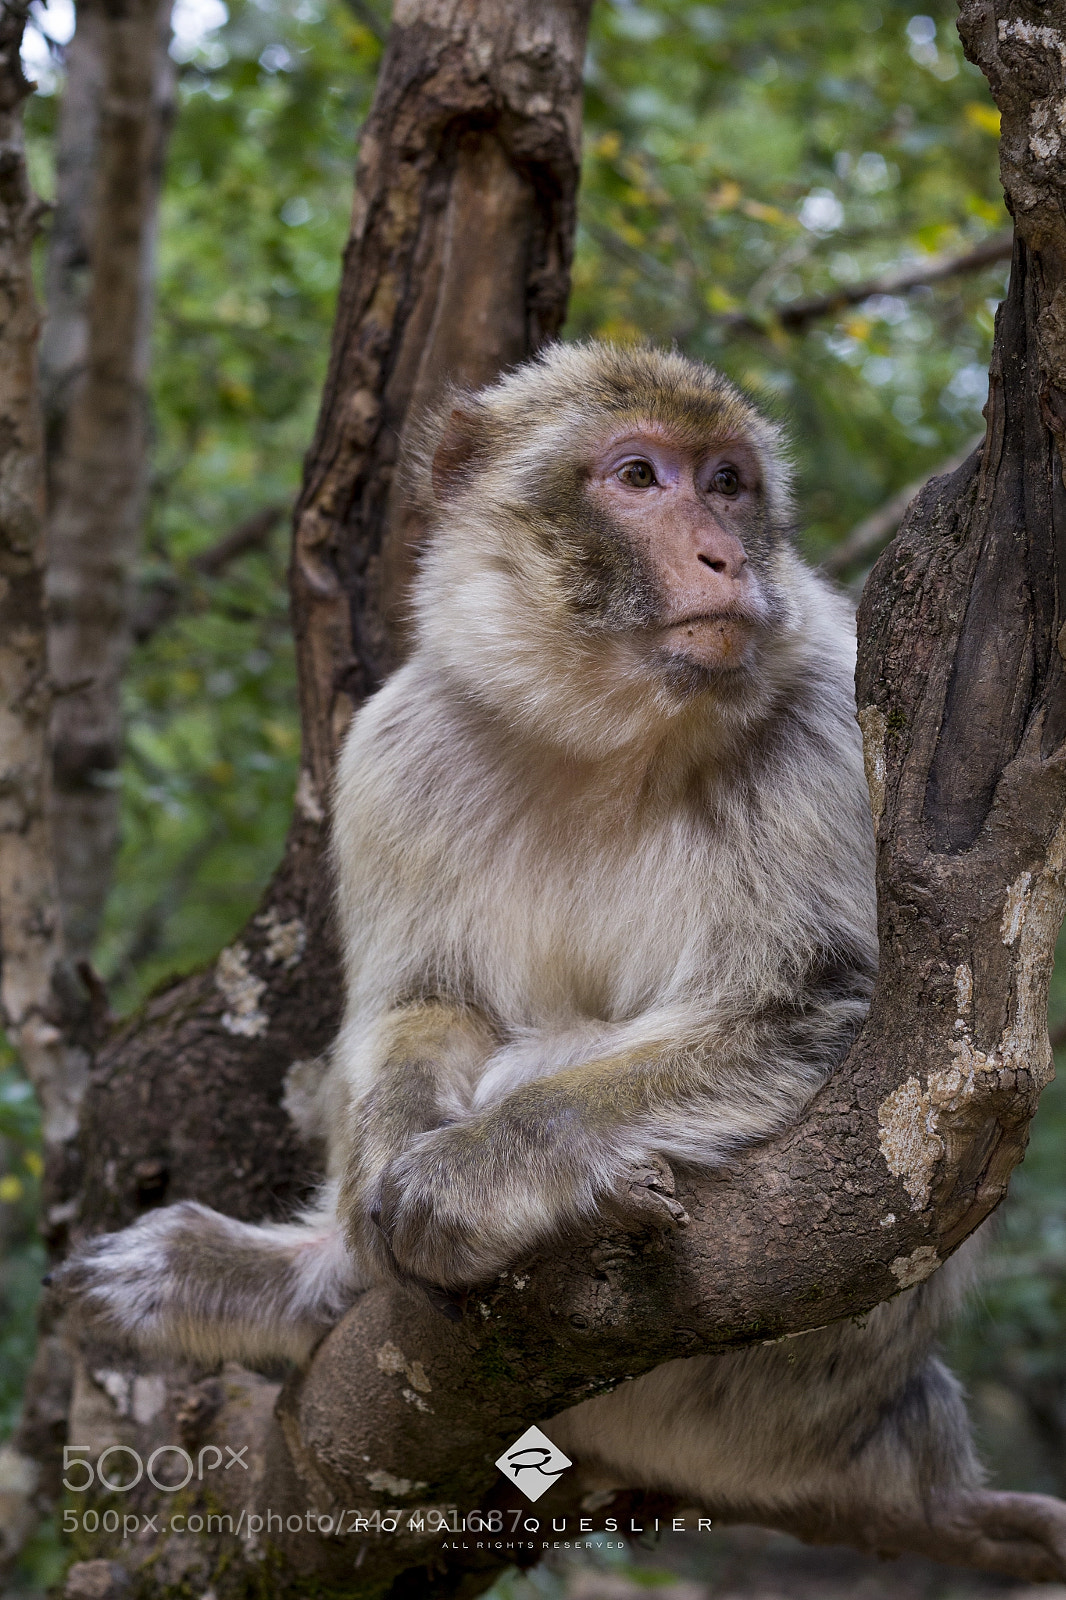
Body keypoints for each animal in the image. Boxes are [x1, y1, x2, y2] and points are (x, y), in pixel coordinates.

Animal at [55, 343, 1066, 1575]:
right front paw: (389, 1162)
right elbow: (421, 1006)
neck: (602, 735)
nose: (723, 553)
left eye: (727, 483)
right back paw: (300, 1286)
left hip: (804, 1371)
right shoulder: (396, 747)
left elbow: (833, 1021)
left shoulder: (827, 727)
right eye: (638, 476)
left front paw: (472, 1169)